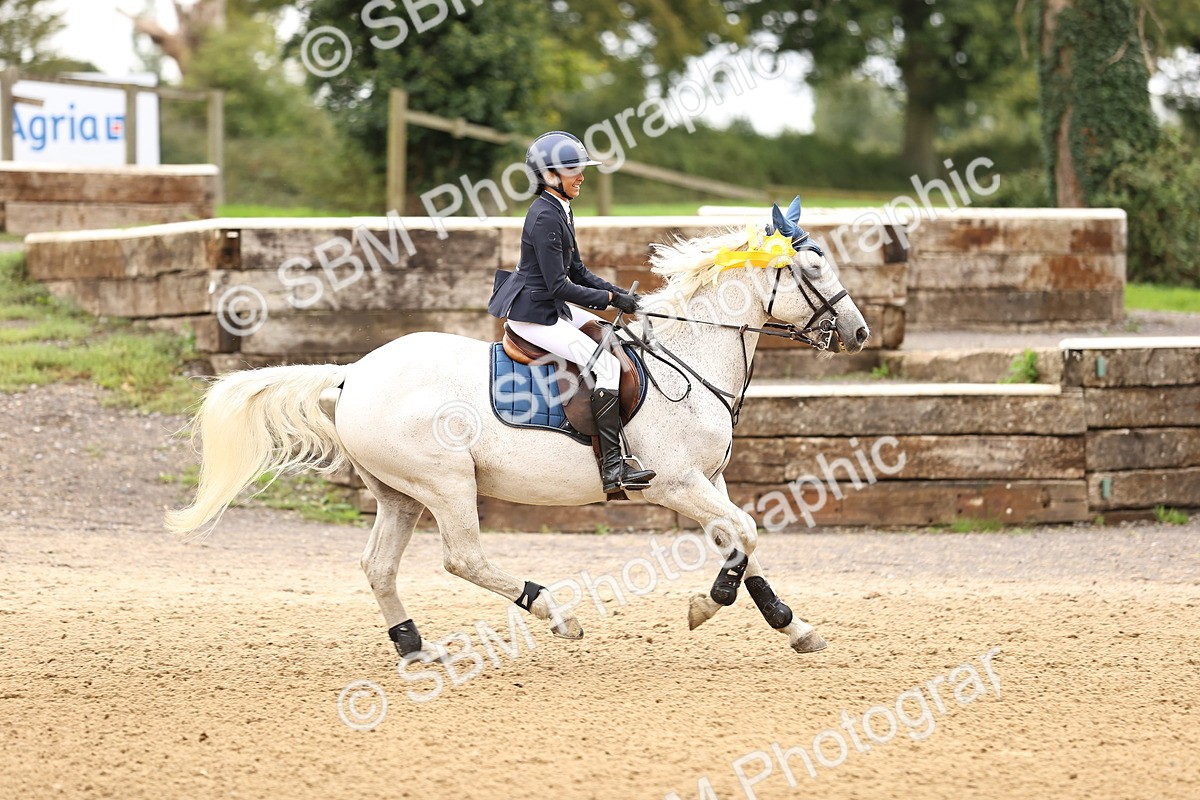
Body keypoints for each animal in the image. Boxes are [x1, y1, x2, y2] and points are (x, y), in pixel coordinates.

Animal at [166, 199, 870, 659]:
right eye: (812, 272)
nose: (860, 334)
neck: (689, 356)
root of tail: (355, 372)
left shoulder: (710, 480)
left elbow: (744, 540)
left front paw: (792, 626)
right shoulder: (676, 483)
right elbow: (742, 535)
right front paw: (708, 604)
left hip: (398, 494)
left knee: (379, 567)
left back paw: (413, 646)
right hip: (446, 482)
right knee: (463, 557)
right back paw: (554, 613)